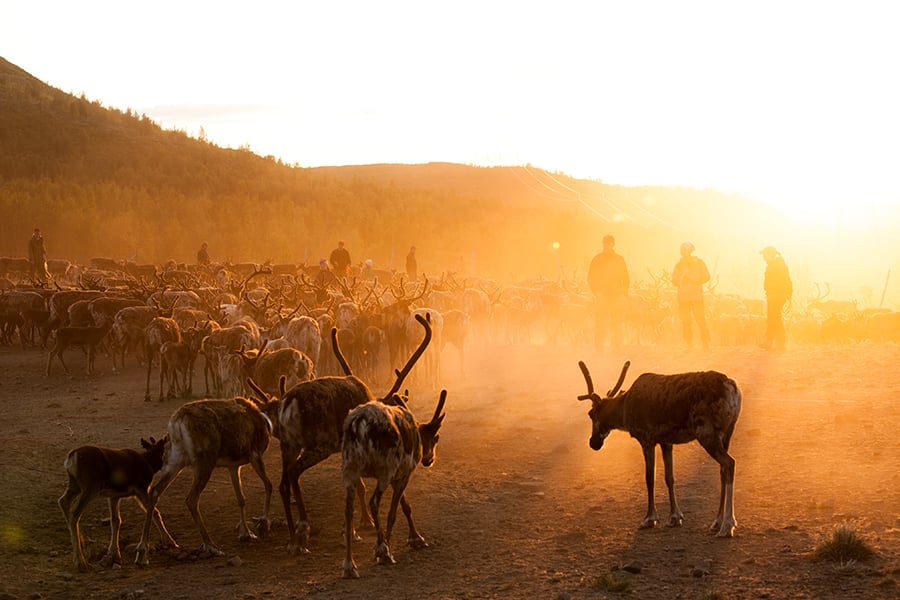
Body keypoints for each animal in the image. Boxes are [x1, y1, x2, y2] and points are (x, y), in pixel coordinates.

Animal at [59, 436, 176, 572]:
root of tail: (71, 458)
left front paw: (114, 553)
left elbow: (116, 520)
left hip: (75, 485)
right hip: (90, 487)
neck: (149, 463)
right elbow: (155, 512)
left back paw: (81, 542)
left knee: (63, 501)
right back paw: (80, 561)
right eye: (164, 450)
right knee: (74, 513)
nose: (167, 464)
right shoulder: (140, 488)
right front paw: (170, 541)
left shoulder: (114, 495)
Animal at [275, 312, 433, 555]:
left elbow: (359, 485)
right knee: (293, 473)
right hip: (318, 445)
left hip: (288, 445)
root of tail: (288, 404)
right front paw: (413, 536)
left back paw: (293, 540)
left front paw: (360, 525)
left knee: (283, 484)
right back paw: (302, 529)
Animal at [341, 389, 447, 579]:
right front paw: (384, 549)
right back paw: (383, 551)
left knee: (348, 510)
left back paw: (349, 565)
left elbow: (405, 505)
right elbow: (393, 512)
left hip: (350, 468)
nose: (430, 460)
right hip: (385, 468)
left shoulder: (397, 474)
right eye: (435, 438)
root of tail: (358, 424)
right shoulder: (402, 473)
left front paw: (415, 538)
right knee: (374, 502)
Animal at [577, 360, 741, 537]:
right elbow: (669, 477)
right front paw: (675, 517)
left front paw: (649, 518)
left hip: (706, 433)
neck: (624, 410)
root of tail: (732, 387)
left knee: (729, 463)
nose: (593, 443)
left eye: (591, 414)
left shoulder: (646, 439)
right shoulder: (666, 442)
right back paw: (717, 522)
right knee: (723, 469)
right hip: (727, 432)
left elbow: (650, 478)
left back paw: (727, 525)